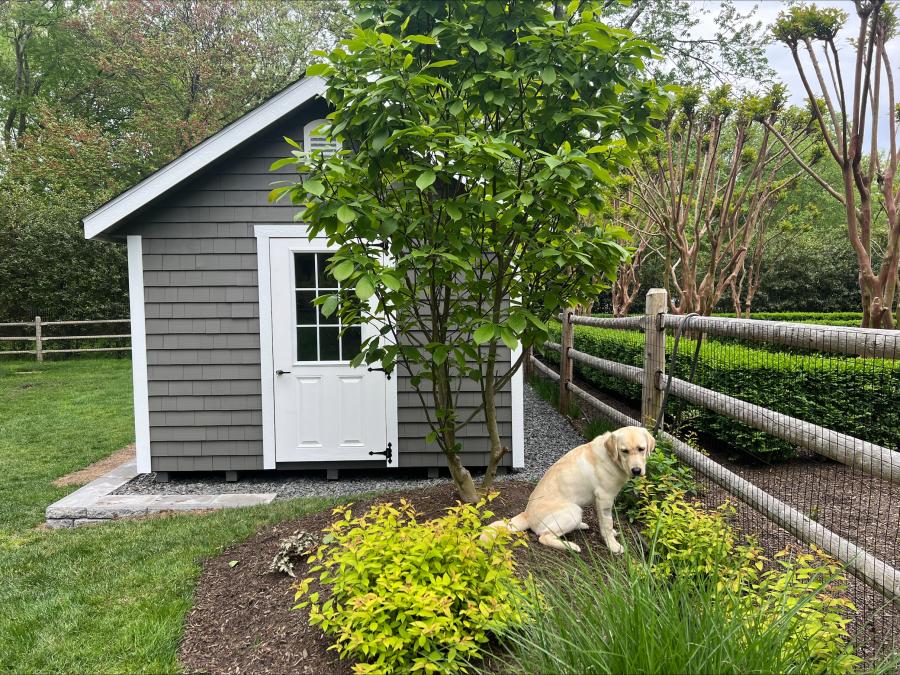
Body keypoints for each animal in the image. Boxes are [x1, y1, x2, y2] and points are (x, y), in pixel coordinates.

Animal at [486, 428, 652, 556]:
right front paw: (613, 545)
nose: (636, 470)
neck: (611, 458)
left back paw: (581, 525)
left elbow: (605, 523)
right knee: (544, 536)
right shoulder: (605, 498)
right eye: (624, 451)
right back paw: (571, 546)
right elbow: (607, 524)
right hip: (573, 510)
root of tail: (526, 514)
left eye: (641, 449)